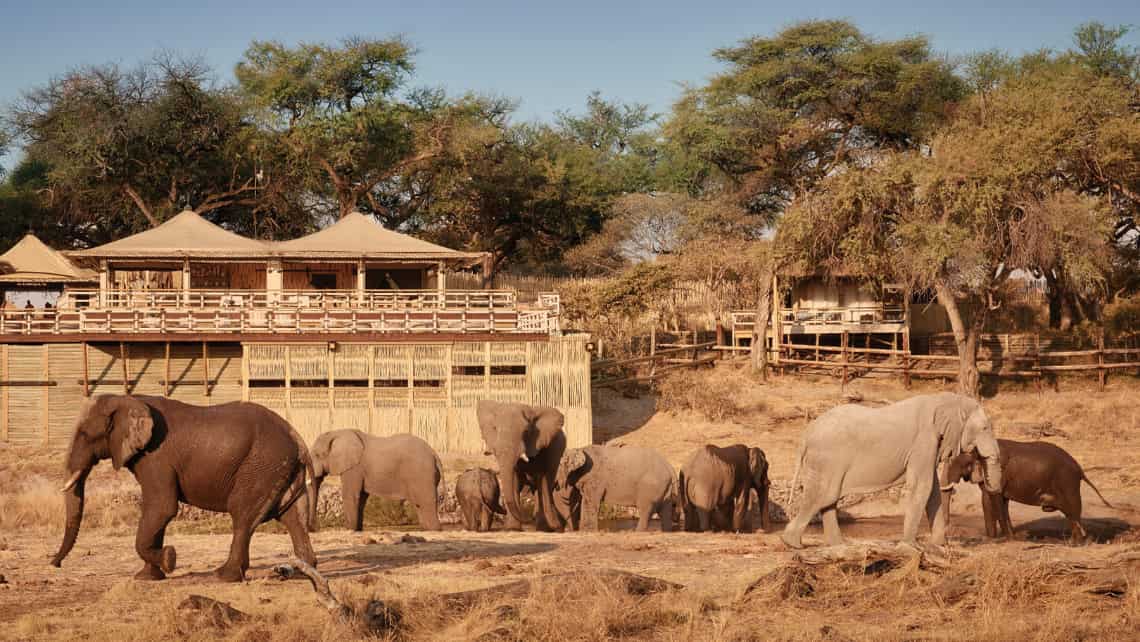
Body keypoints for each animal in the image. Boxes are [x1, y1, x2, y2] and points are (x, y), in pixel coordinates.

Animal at [49, 394, 316, 583]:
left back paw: (223, 576)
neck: (126, 398)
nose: (55, 564)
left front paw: (169, 559)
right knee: (293, 517)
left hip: (261, 465)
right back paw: (303, 573)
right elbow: (157, 512)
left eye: (85, 434)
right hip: (281, 470)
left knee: (242, 516)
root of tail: (298, 438)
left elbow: (162, 507)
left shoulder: (155, 457)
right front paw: (147, 578)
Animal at [307, 431, 440, 533]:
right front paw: (357, 530)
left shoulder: (354, 468)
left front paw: (349, 529)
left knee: (426, 502)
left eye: (317, 455)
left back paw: (434, 529)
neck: (337, 432)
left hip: (422, 474)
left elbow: (350, 495)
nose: (314, 529)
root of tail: (433, 453)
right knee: (420, 505)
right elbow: (361, 498)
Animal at [474, 401, 563, 533]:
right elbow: (514, 481)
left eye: (526, 431)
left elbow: (542, 480)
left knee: (545, 484)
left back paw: (544, 528)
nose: (529, 518)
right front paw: (512, 528)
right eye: (495, 429)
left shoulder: (543, 447)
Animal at [779, 394, 1003, 549]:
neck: (945, 399)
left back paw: (837, 545)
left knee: (829, 499)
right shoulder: (924, 441)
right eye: (985, 428)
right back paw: (792, 543)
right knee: (823, 495)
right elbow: (921, 486)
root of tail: (806, 433)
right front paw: (909, 546)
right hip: (827, 459)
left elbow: (932, 491)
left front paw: (938, 545)